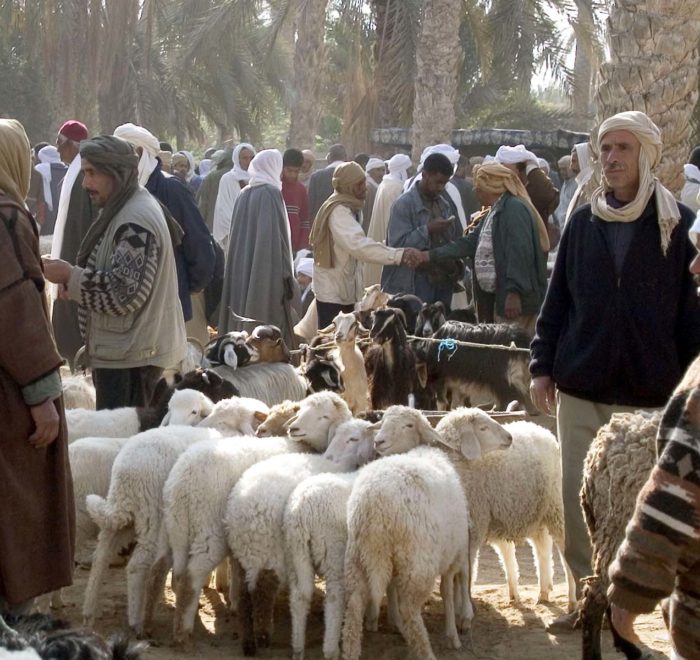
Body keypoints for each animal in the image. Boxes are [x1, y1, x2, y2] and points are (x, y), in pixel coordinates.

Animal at [344, 444, 474, 660]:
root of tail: (373, 505)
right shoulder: (452, 556)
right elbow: (447, 592)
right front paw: (453, 636)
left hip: (359, 556)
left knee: (354, 605)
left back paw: (350, 652)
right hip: (417, 562)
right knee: (410, 611)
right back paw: (425, 651)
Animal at [374, 408, 576, 612]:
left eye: (408, 425)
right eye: (383, 422)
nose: (378, 441)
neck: (455, 462)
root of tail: (541, 430)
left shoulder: (473, 529)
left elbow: (467, 571)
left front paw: (466, 605)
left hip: (556, 508)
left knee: (563, 553)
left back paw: (571, 600)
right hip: (534, 513)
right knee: (541, 550)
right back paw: (541, 593)